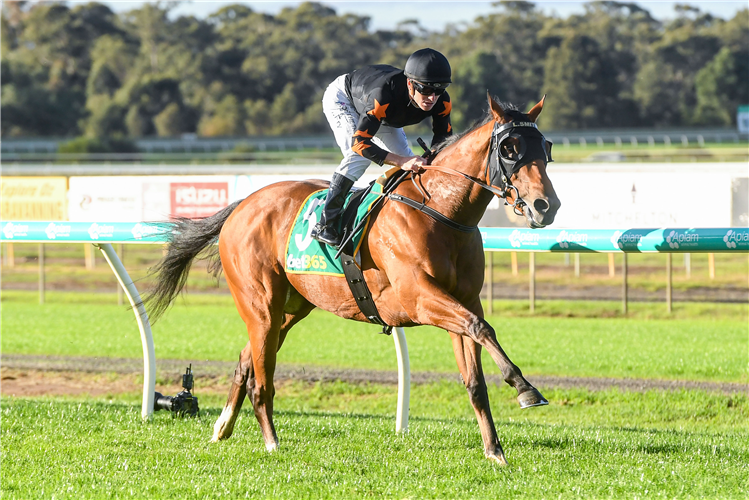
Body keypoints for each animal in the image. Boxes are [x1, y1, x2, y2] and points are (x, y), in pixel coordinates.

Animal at [146, 94, 560, 464]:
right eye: (509, 148)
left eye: (546, 146)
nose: (546, 205)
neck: (442, 211)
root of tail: (242, 205)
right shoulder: (419, 298)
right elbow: (481, 327)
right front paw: (525, 388)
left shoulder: (464, 299)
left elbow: (475, 375)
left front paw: (494, 450)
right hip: (261, 304)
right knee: (261, 378)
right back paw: (271, 441)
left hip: (289, 310)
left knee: (247, 359)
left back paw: (222, 427)